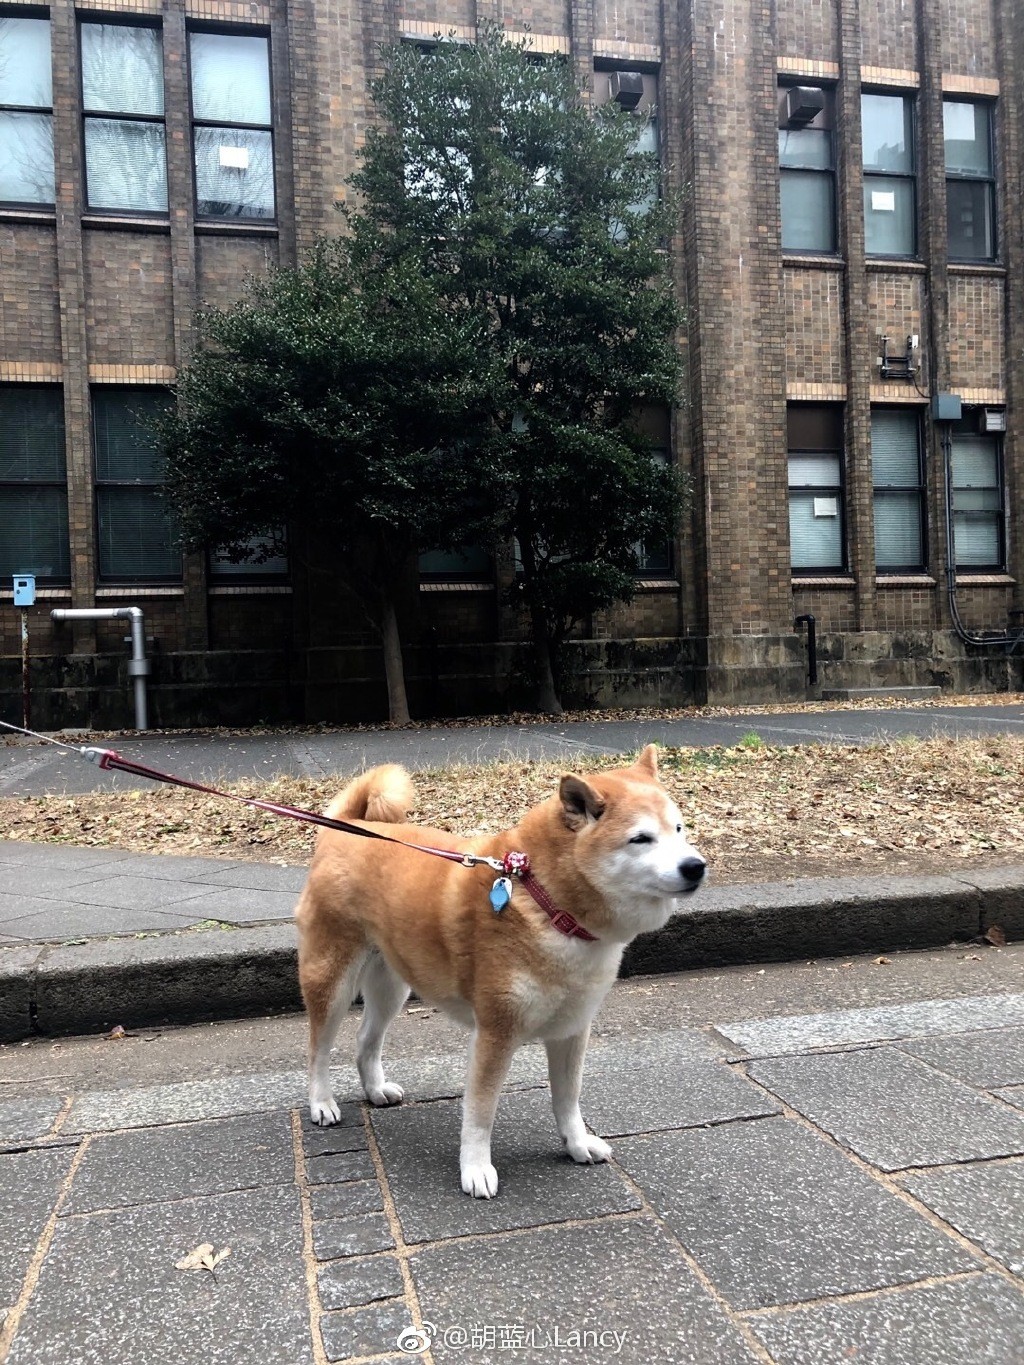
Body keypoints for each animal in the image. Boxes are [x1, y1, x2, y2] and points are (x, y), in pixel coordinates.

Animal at [296, 742, 704, 1201]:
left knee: (366, 1039)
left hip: (392, 986)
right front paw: (475, 1169)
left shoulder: (572, 1028)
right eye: (641, 838)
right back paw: (322, 1103)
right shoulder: (495, 1032)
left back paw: (375, 1089)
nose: (696, 865)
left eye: (679, 829)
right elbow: (480, 1112)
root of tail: (346, 827)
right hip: (332, 978)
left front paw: (577, 1144)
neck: (548, 904)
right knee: (318, 1050)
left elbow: (568, 1099)